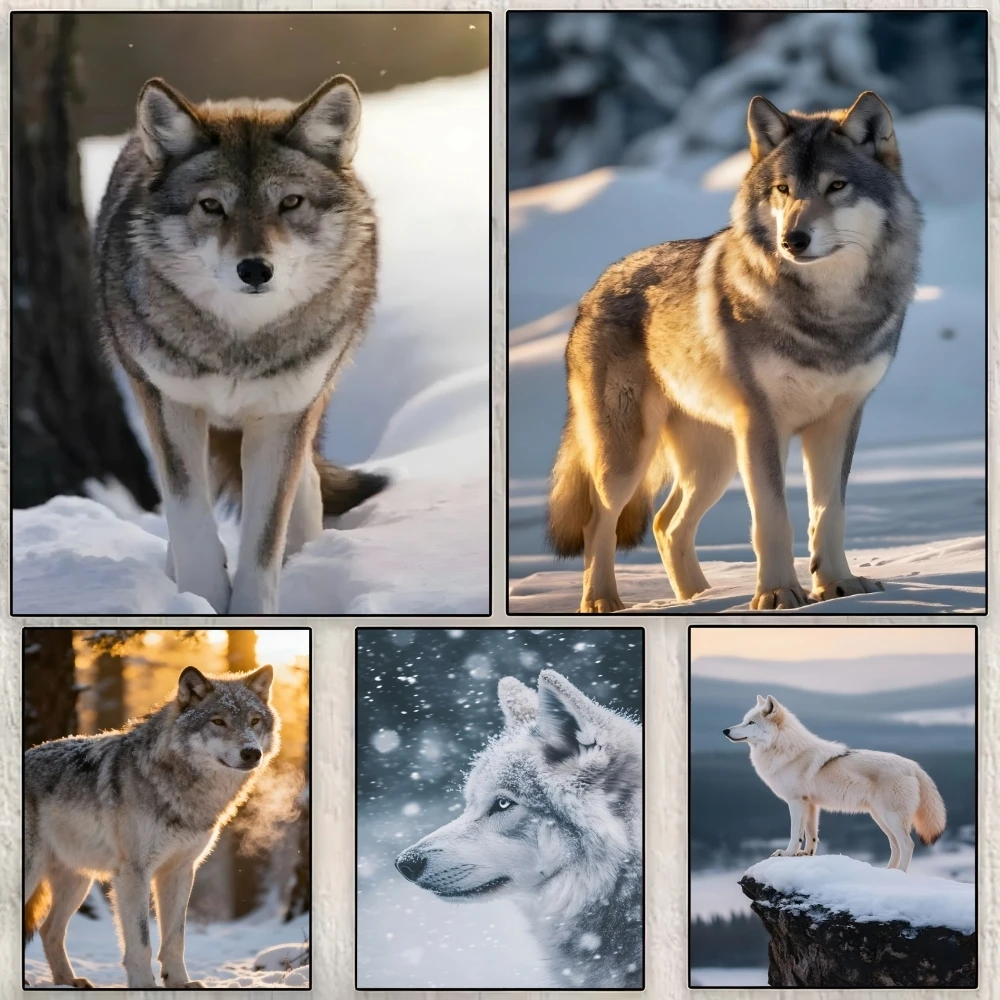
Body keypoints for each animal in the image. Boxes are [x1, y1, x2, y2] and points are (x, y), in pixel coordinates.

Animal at [24, 665, 279, 988]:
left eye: (254, 721)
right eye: (218, 721)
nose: (251, 752)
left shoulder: (180, 871)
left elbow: (175, 939)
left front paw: (180, 983)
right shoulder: (133, 874)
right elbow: (142, 940)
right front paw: (144, 985)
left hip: (77, 882)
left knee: (49, 930)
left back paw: (68, 981)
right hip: (34, 875)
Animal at [95, 75, 387, 613]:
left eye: (290, 203)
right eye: (212, 206)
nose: (254, 269)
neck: (239, 344)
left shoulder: (281, 417)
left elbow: (264, 539)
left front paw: (254, 611)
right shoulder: (170, 406)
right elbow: (190, 522)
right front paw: (201, 602)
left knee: (307, 482)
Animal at [548, 92, 921, 612]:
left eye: (837, 186)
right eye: (783, 189)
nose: (792, 240)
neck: (829, 316)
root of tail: (594, 288)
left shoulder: (838, 421)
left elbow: (828, 514)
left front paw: (838, 587)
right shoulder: (763, 425)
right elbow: (773, 519)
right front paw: (779, 593)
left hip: (715, 459)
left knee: (666, 525)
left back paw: (698, 599)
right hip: (629, 457)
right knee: (598, 522)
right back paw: (603, 602)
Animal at [723, 694, 946, 871]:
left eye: (751, 723)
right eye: (744, 721)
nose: (725, 730)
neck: (785, 750)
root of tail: (914, 766)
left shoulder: (796, 802)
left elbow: (796, 834)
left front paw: (787, 853)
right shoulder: (811, 805)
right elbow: (811, 835)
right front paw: (806, 855)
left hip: (891, 818)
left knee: (908, 845)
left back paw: (899, 874)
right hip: (880, 818)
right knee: (896, 846)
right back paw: (888, 872)